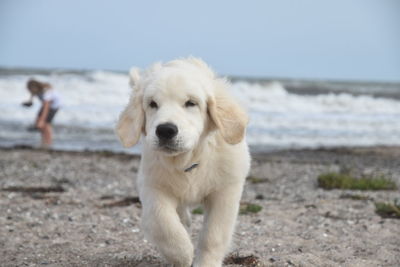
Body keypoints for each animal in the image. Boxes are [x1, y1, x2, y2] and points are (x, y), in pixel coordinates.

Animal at [114, 57, 250, 266]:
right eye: (153, 104)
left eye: (191, 103)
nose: (165, 130)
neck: (188, 161)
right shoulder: (153, 186)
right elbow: (164, 224)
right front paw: (182, 254)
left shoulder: (226, 189)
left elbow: (214, 233)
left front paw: (206, 262)